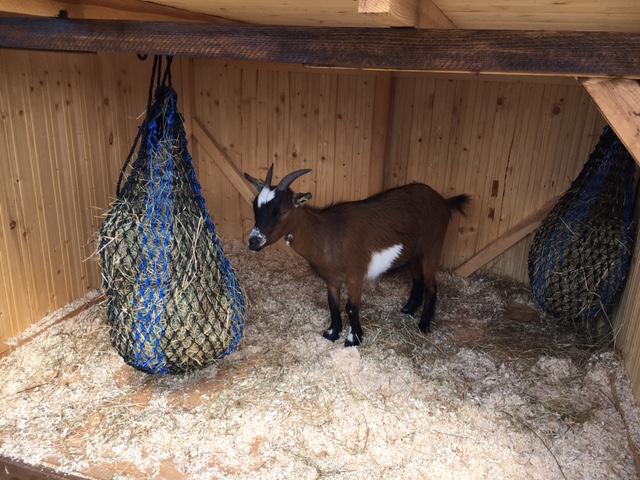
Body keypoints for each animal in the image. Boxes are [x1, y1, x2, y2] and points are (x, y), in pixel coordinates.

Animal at [244, 165, 470, 344]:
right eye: (255, 207)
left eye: (282, 211)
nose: (254, 241)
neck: (326, 235)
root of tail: (442, 200)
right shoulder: (331, 278)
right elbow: (333, 303)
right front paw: (332, 333)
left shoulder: (355, 276)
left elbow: (351, 307)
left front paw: (354, 338)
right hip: (413, 252)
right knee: (418, 279)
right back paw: (408, 309)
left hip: (433, 247)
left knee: (432, 286)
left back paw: (423, 326)